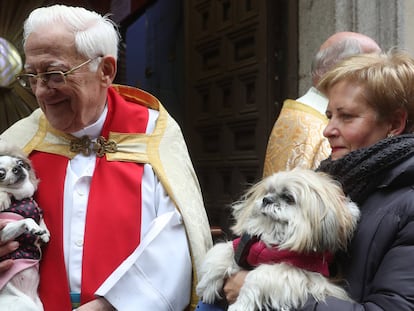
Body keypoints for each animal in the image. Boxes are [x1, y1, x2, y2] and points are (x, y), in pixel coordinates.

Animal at [0, 141, 49, 311]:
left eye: (20, 163)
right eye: (1, 173)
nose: (17, 167)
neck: (20, 197)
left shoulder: (37, 207)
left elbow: (40, 216)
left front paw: (45, 233)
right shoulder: (3, 232)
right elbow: (26, 219)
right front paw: (34, 227)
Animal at [196, 169, 360, 310]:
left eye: (288, 197)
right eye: (268, 192)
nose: (266, 200)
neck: (274, 237)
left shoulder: (302, 275)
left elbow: (258, 276)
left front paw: (240, 305)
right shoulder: (241, 248)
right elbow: (220, 254)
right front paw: (207, 285)